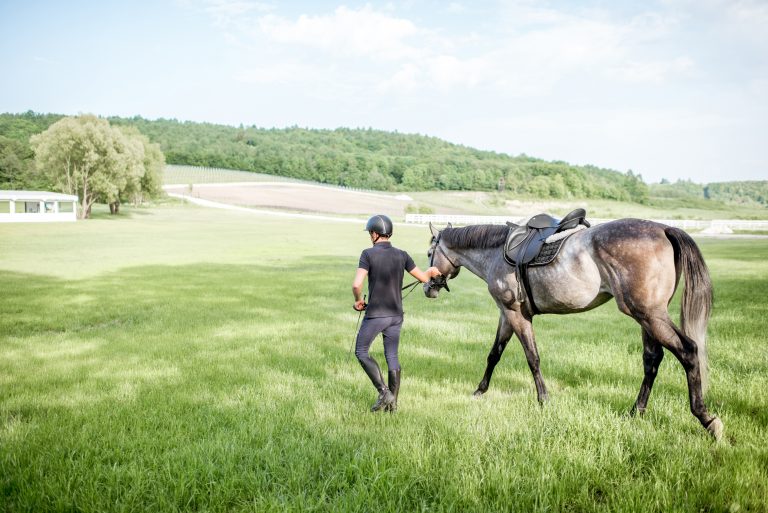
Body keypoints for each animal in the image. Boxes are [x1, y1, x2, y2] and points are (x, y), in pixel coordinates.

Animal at [423, 218, 723, 440]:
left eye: (429, 254)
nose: (428, 288)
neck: (497, 253)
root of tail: (664, 228)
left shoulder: (516, 315)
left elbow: (532, 358)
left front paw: (543, 399)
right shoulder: (507, 315)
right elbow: (494, 355)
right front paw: (480, 391)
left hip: (649, 315)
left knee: (688, 351)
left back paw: (706, 418)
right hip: (647, 317)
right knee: (652, 360)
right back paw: (636, 412)